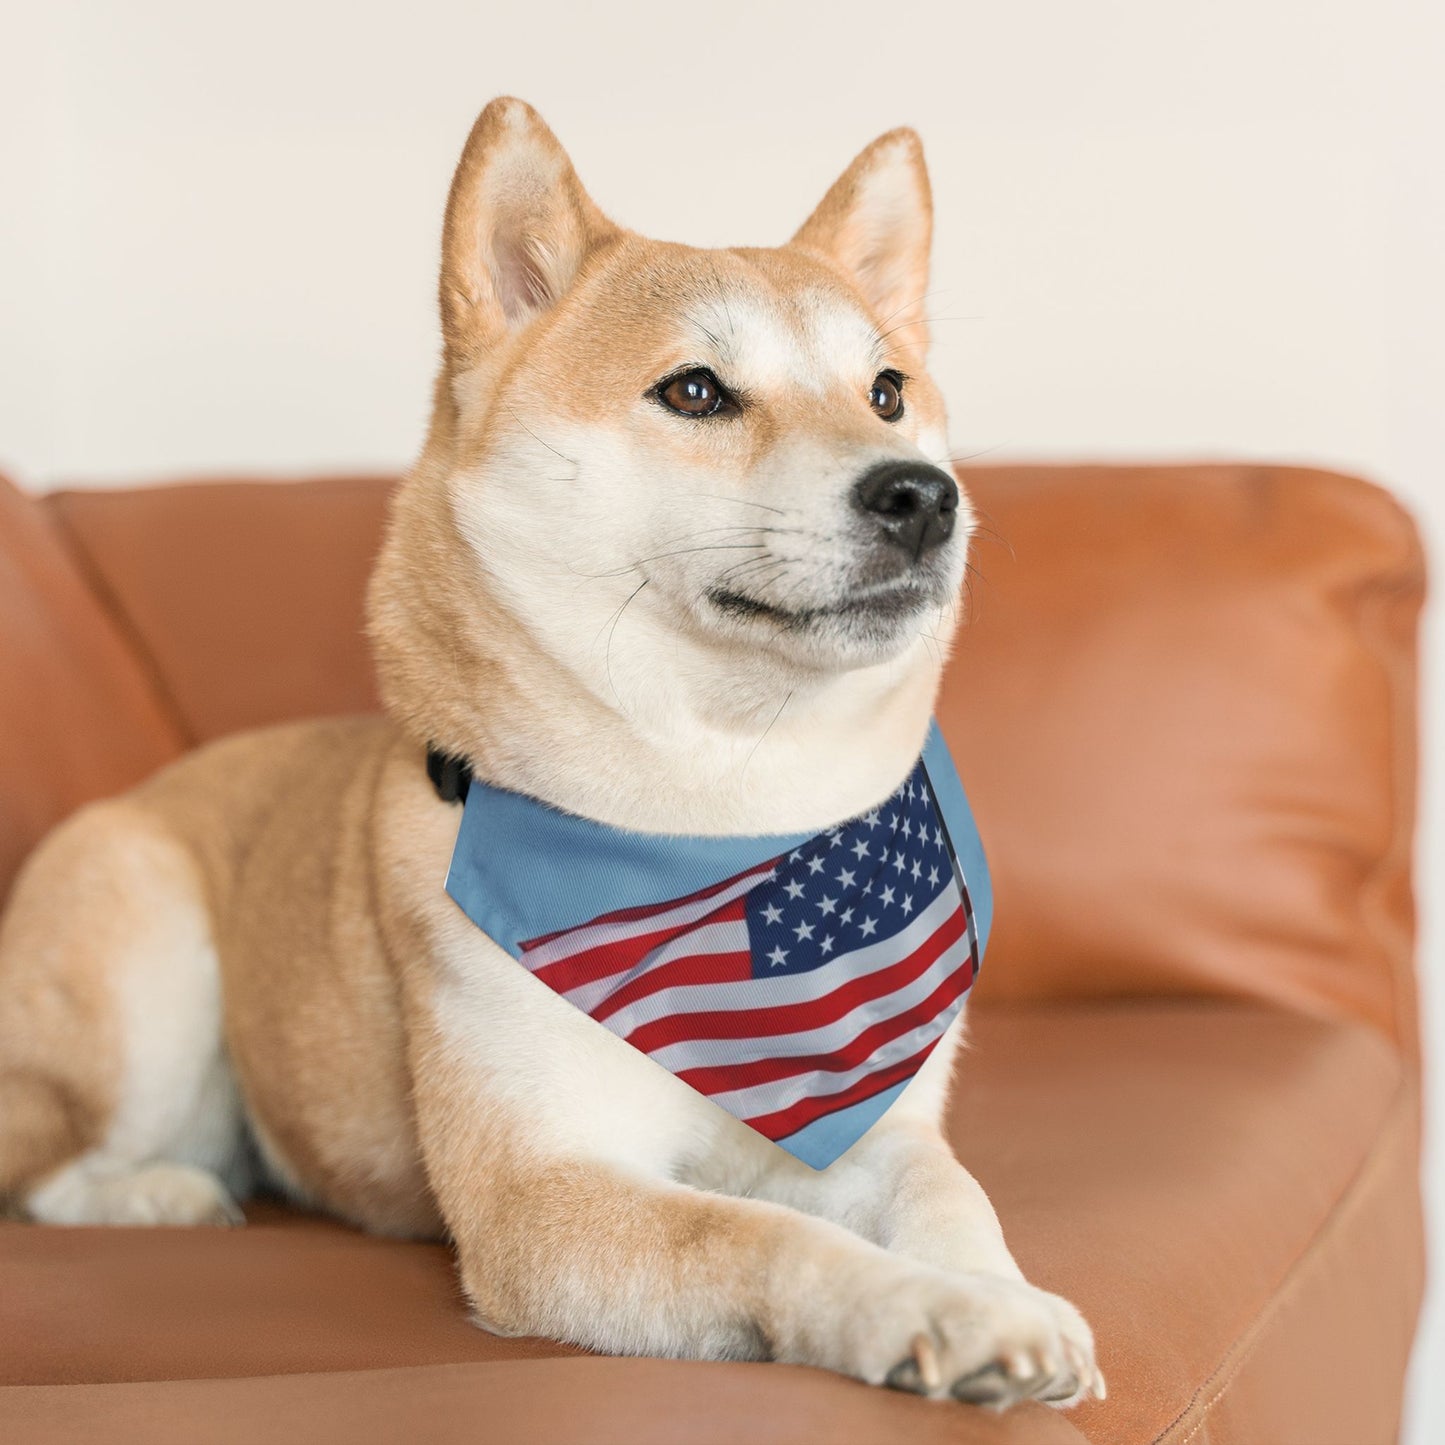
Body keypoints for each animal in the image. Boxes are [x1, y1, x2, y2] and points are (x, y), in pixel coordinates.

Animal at [0, 96, 1098, 1404]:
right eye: (694, 390)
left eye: (886, 390)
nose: (923, 494)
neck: (724, 821)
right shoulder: (541, 1193)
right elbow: (766, 1235)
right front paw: (930, 1308)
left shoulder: (878, 1124)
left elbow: (950, 1194)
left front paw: (1003, 1293)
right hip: (145, 964)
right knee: (48, 1165)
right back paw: (162, 1192)